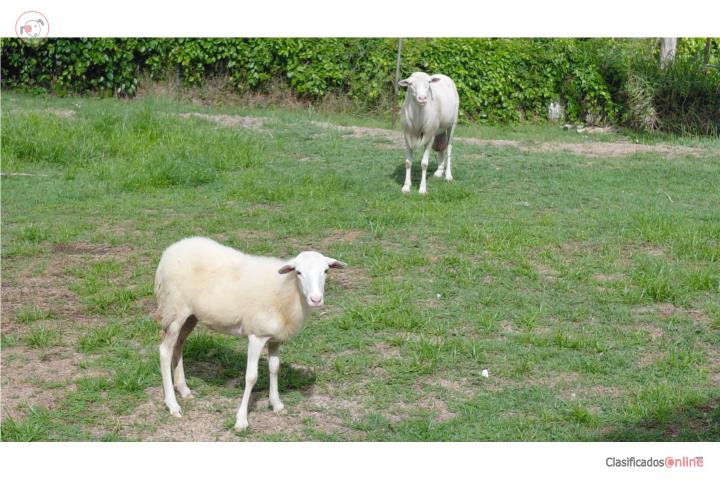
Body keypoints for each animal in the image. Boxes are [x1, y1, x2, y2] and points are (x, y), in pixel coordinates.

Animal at [153, 236, 346, 431]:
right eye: (298, 272)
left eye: (326, 271)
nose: (316, 299)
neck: (287, 292)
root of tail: (171, 250)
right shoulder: (256, 335)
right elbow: (251, 377)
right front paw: (241, 420)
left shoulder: (275, 338)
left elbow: (274, 368)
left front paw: (276, 404)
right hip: (174, 310)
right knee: (165, 352)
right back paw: (172, 404)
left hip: (190, 316)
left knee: (178, 346)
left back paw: (184, 389)